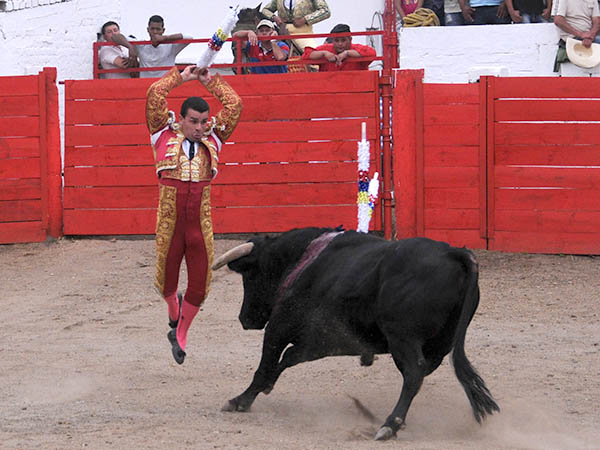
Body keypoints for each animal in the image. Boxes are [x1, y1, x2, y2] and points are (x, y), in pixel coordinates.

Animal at [213, 227, 500, 442]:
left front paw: (240, 401)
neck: (301, 260)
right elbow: (288, 359)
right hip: (439, 346)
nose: (245, 319)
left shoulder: (279, 326)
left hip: (402, 337)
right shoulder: (322, 341)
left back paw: (389, 425)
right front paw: (266, 387)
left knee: (414, 373)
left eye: (250, 275)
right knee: (418, 375)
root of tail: (456, 253)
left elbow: (266, 364)